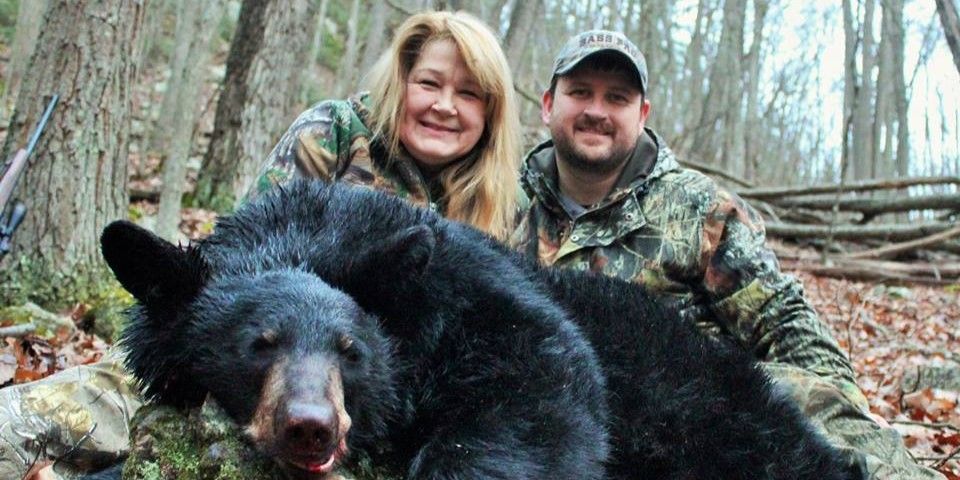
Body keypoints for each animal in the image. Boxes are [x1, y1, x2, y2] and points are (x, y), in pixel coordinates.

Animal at [94, 180, 858, 479]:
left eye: (351, 350)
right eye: (257, 344)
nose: (311, 425)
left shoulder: (487, 304)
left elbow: (541, 394)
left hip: (712, 410)